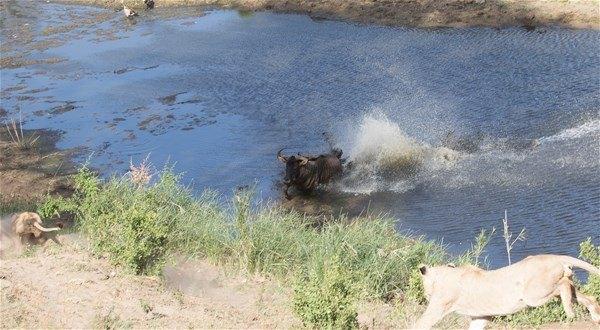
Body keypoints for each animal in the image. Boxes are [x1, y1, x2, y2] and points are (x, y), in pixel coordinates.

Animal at [418, 255, 600, 330]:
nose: (426, 295)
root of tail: (553, 256)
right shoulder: (480, 317)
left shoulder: (438, 307)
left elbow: (420, 324)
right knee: (581, 292)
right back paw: (594, 314)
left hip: (533, 295)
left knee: (564, 284)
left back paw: (569, 312)